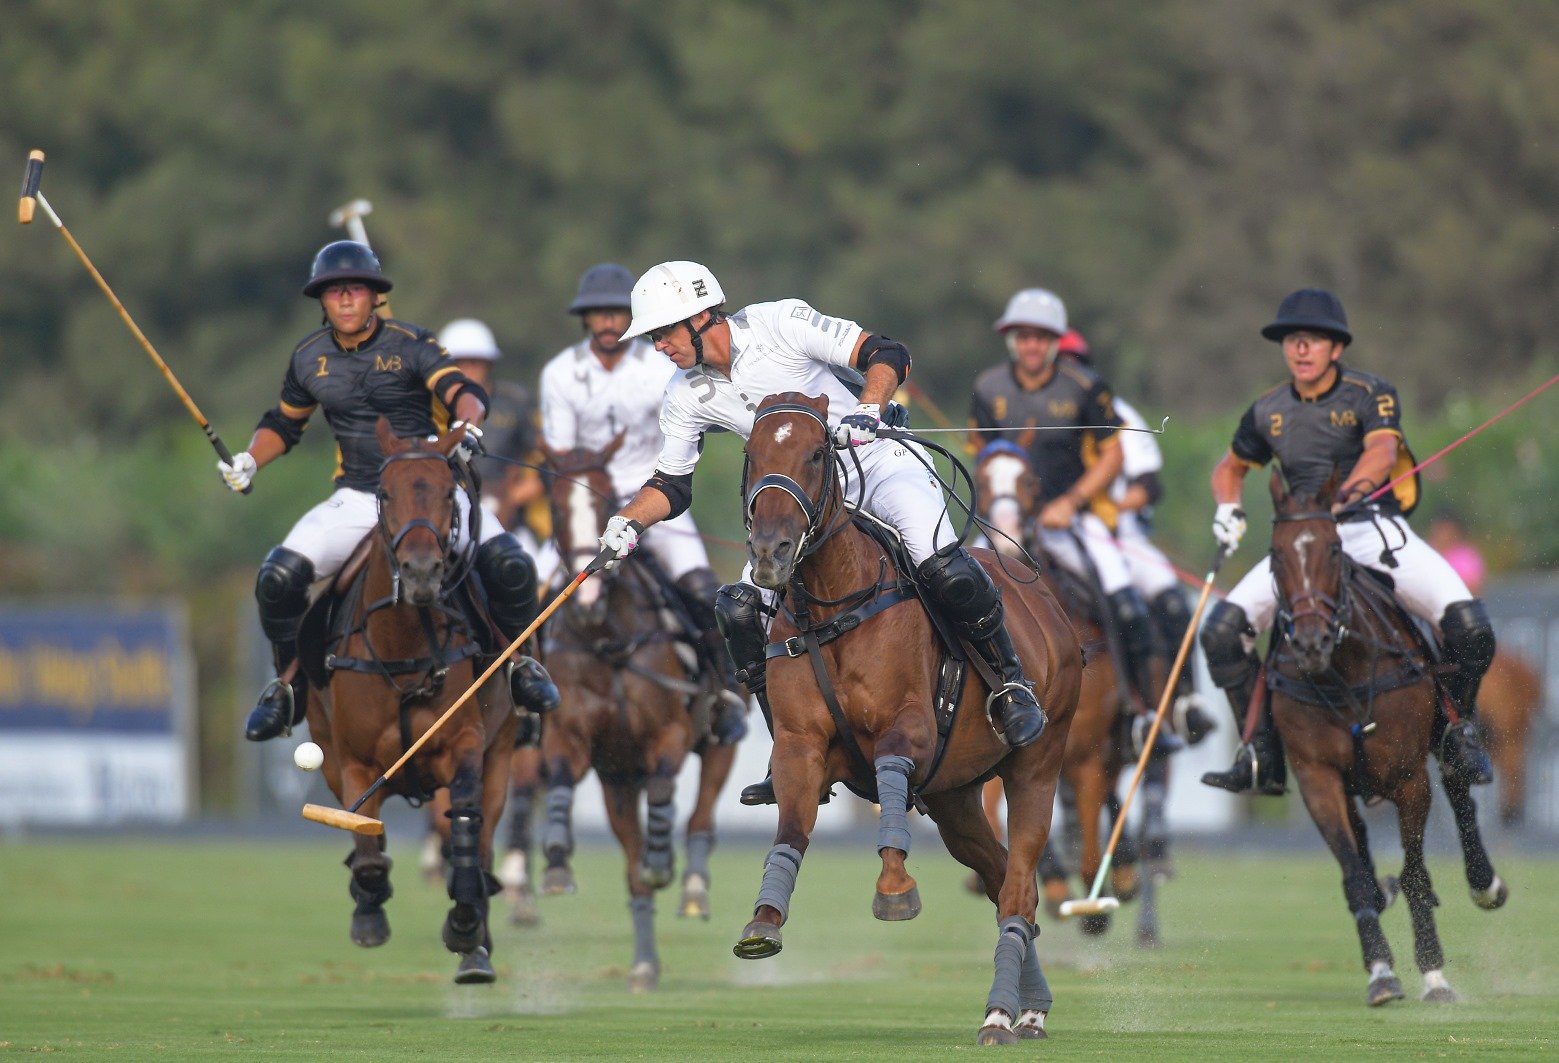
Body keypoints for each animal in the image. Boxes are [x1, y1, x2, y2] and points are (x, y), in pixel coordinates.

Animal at [304, 417, 517, 978]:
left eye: (448, 492)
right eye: (384, 492)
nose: (422, 572)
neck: (403, 648)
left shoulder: (466, 743)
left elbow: (465, 828)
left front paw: (465, 925)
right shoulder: (352, 761)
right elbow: (367, 846)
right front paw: (369, 911)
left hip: (503, 754)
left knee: (482, 843)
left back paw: (477, 942)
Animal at [539, 433, 738, 991]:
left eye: (606, 498)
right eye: (554, 509)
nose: (586, 597)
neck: (609, 641)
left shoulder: (669, 733)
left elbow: (667, 787)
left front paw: (663, 860)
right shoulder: (576, 740)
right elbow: (559, 777)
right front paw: (557, 860)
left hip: (719, 738)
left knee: (701, 814)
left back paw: (690, 883)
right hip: (616, 784)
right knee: (632, 868)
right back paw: (645, 962)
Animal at [732, 391, 1078, 1041]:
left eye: (816, 453)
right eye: (752, 453)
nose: (769, 553)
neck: (835, 606)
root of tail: (1051, 605)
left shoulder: (911, 726)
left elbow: (891, 770)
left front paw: (894, 885)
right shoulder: (801, 746)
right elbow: (790, 828)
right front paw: (764, 920)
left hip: (1037, 768)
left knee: (1020, 886)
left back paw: (1000, 1013)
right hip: (955, 799)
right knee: (1002, 880)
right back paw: (1031, 1005)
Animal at [972, 433, 1147, 928]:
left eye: (1031, 480)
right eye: (981, 478)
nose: (1006, 534)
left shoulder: (1086, 752)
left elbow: (1087, 841)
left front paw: (1095, 906)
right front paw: (1050, 888)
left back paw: (1121, 875)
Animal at [1265, 470, 1509, 1003]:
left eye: (1334, 548)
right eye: (1275, 555)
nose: (1310, 643)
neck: (1346, 668)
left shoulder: (1408, 777)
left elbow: (1415, 871)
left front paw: (1434, 974)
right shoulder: (1317, 777)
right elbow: (1354, 871)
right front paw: (1380, 972)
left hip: (1444, 727)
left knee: (1460, 784)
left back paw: (1484, 884)